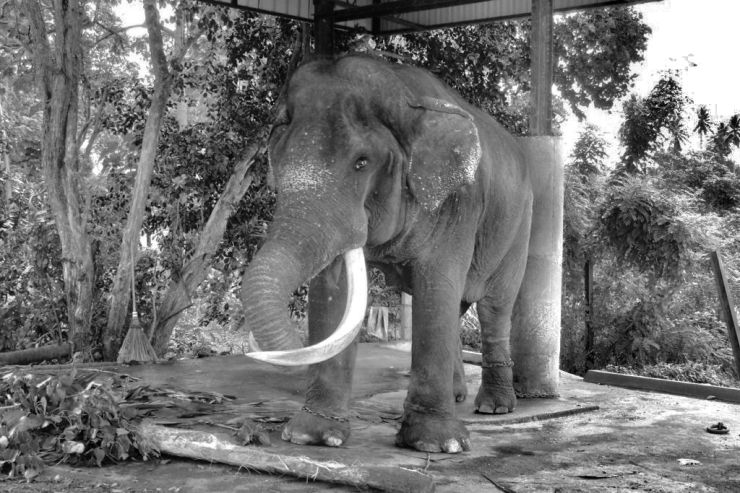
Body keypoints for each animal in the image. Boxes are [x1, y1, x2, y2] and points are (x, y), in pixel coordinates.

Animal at [241, 53, 533, 454]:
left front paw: (436, 444)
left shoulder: (458, 202)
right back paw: (457, 396)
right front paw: (311, 436)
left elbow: (436, 284)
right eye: (278, 162)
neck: (403, 94)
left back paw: (494, 407)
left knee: (495, 306)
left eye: (362, 162)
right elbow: (337, 292)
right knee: (458, 307)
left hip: (518, 227)